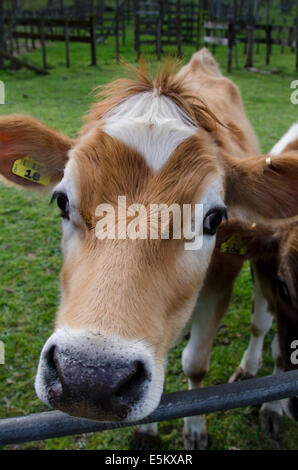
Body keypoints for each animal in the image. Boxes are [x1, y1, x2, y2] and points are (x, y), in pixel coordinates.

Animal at [0, 51, 296, 444]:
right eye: (62, 201)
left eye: (214, 219)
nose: (89, 378)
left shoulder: (219, 286)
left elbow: (195, 364)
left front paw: (195, 429)